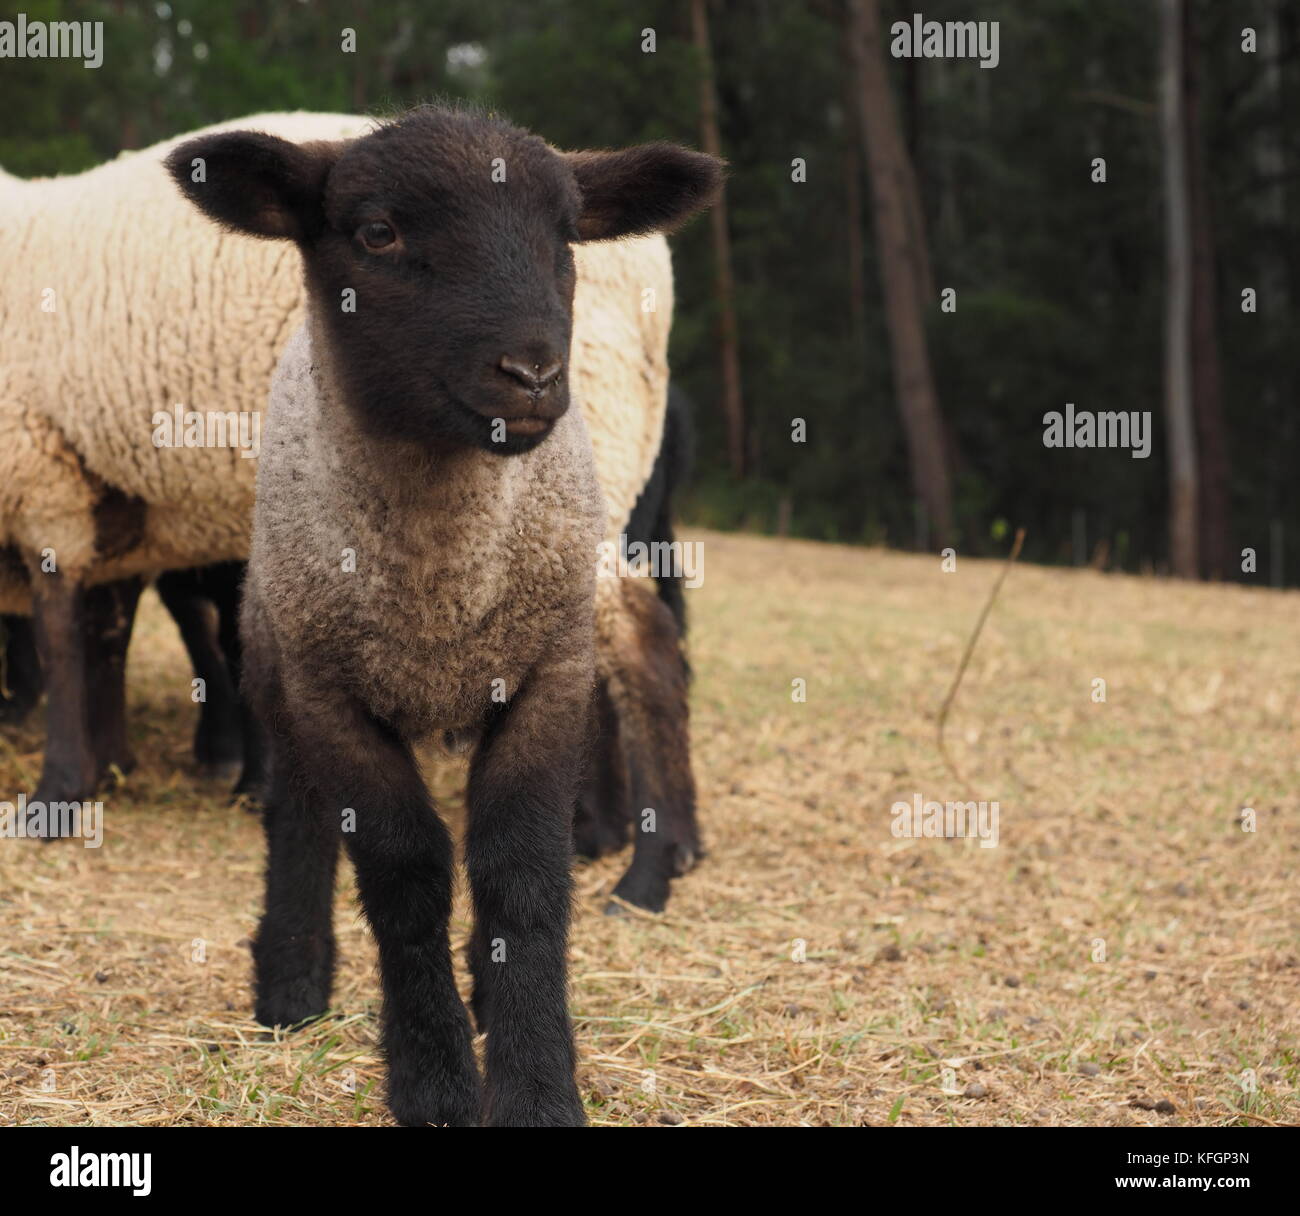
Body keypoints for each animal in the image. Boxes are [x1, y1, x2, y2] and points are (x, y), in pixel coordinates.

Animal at [2, 112, 702, 909]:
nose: (532, 375)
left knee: (643, 647)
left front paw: (56, 797)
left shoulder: (42, 474)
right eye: (377, 233)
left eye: (563, 237)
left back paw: (648, 867)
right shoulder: (100, 498)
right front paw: (105, 771)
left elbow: (64, 642)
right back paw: (627, 840)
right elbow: (104, 638)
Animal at [166, 104, 722, 1125]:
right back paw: (291, 987)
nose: (533, 373)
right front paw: (431, 1077)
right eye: (377, 232)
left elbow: (521, 870)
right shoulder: (332, 695)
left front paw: (535, 1079)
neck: (442, 583)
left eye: (565, 236)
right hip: (275, 647)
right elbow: (405, 873)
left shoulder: (547, 678)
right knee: (299, 815)